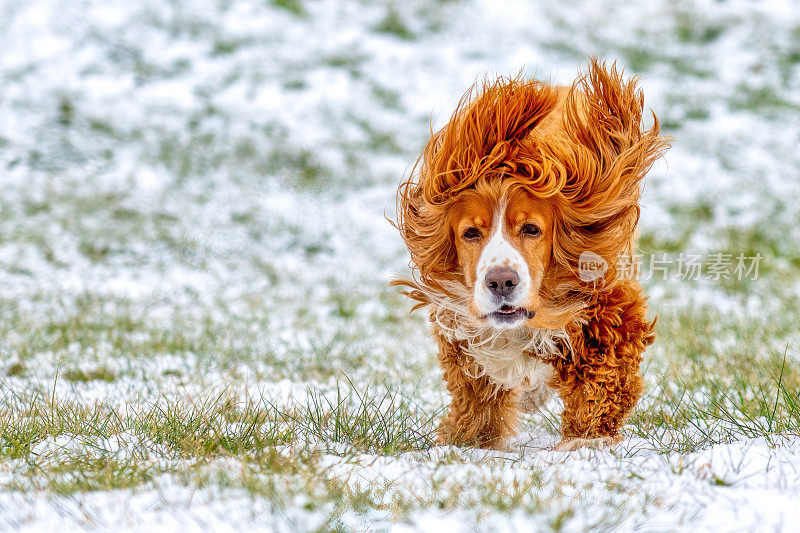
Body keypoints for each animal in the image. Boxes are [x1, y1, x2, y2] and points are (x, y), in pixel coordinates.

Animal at [394, 58, 668, 448]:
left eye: (531, 229)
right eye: (471, 233)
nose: (501, 282)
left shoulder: (605, 304)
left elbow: (603, 378)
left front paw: (587, 439)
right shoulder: (461, 324)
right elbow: (477, 390)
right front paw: (467, 436)